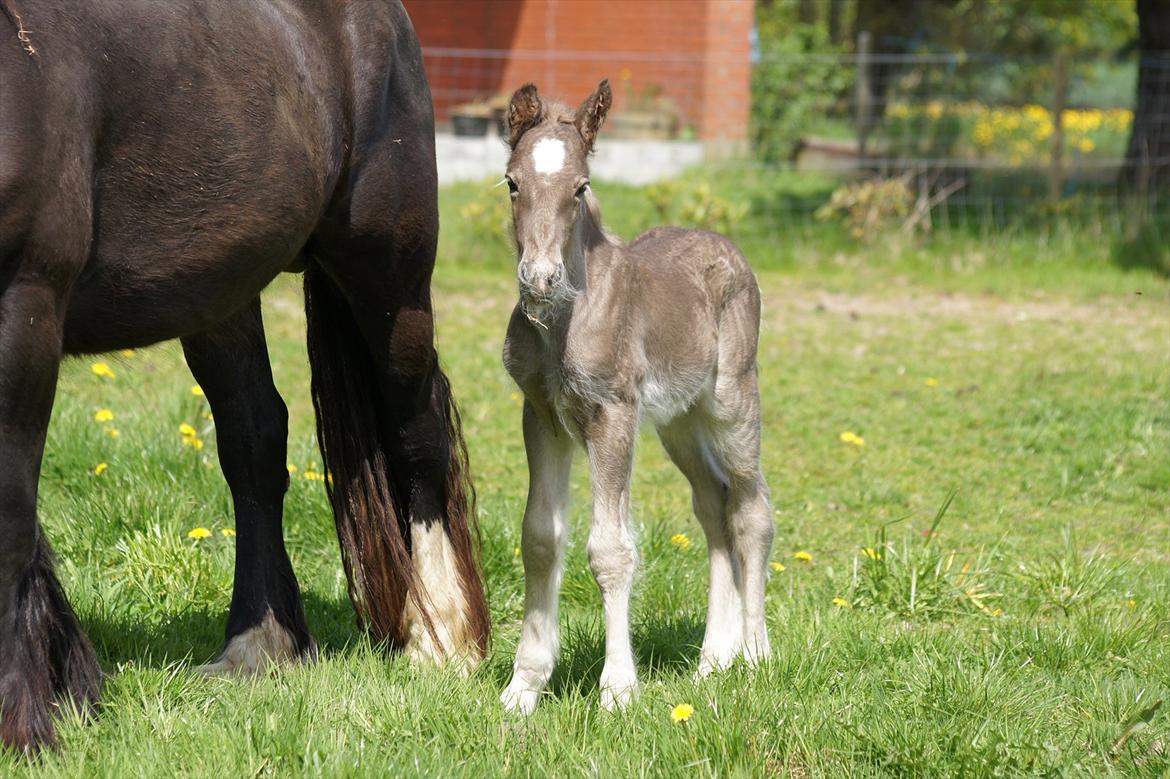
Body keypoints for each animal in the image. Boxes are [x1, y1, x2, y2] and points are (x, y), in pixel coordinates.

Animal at [0, 0, 489, 753]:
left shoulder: (24, 304)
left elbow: (9, 518)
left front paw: (24, 725)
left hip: (389, 275)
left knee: (419, 432)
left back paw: (441, 638)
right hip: (219, 291)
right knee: (255, 440)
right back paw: (261, 646)